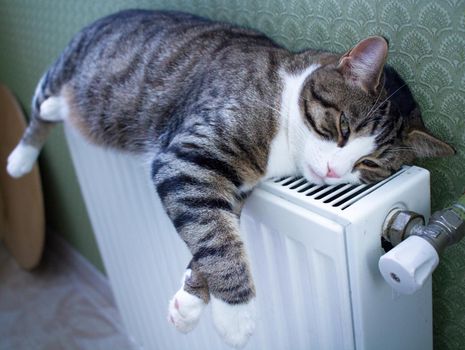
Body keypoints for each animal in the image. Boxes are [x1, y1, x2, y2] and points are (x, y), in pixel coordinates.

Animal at [5, 9, 452, 348]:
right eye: (342, 126)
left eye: (371, 164)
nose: (333, 172)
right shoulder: (188, 157)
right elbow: (216, 237)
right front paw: (236, 316)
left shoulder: (232, 186)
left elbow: (213, 234)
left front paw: (189, 301)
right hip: (70, 65)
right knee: (41, 101)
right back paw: (24, 153)